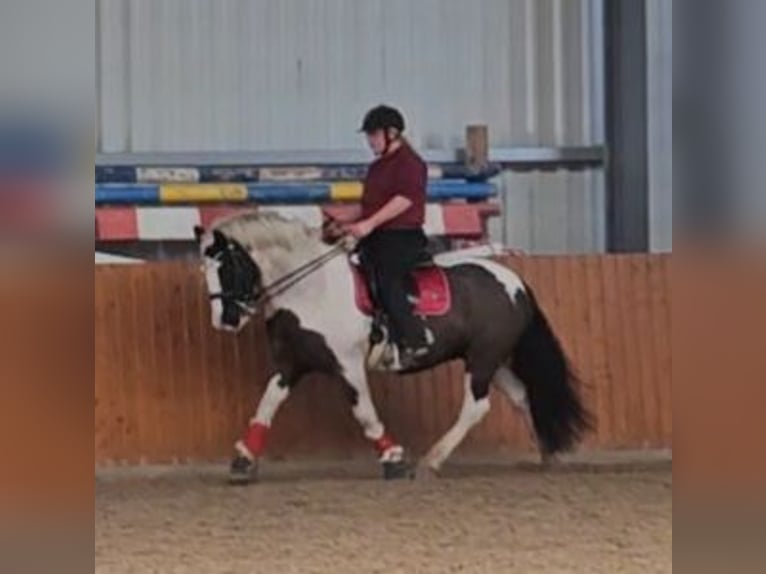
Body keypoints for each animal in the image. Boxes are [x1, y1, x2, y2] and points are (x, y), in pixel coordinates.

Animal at [194, 209, 592, 484]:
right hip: (498, 360)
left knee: (477, 406)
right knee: (522, 396)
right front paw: (243, 462)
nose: (224, 320)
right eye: (206, 272)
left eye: (227, 268)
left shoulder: (347, 364)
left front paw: (395, 460)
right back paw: (547, 454)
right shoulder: (291, 364)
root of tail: (514, 282)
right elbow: (266, 406)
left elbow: (365, 414)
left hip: (482, 358)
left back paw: (433, 460)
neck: (312, 290)